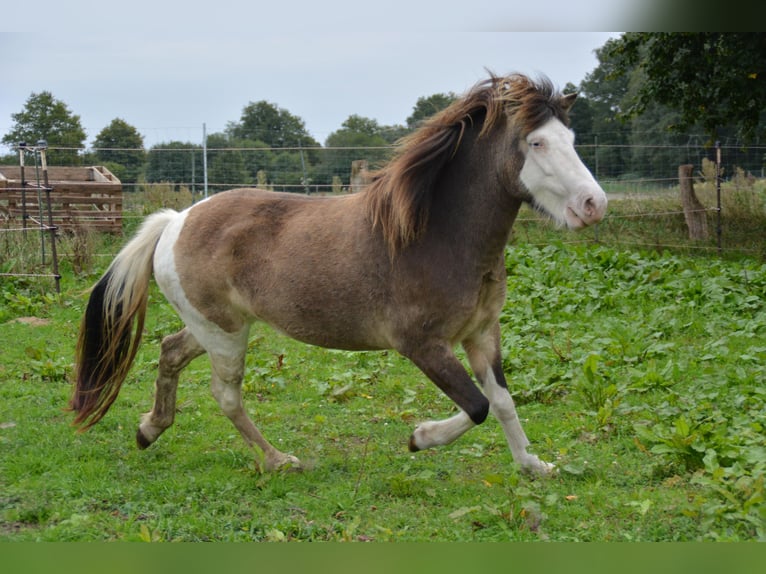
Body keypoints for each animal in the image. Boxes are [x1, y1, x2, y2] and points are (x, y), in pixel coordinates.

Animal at [70, 73, 607, 476]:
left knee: (170, 352)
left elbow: (502, 401)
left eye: (572, 140)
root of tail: (175, 220)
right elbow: (477, 407)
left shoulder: (482, 334)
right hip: (225, 334)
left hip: (217, 327)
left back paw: (149, 430)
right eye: (536, 142)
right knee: (225, 394)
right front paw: (419, 438)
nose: (593, 205)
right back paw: (278, 460)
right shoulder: (422, 344)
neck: (437, 235)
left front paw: (533, 467)